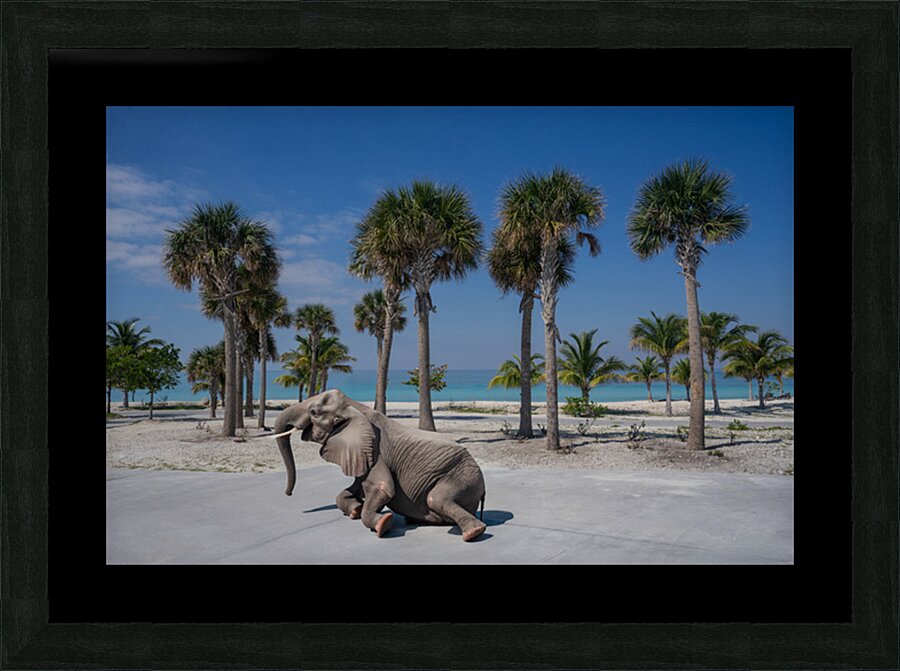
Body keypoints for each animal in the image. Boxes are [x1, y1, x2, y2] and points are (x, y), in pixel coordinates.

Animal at [272, 389, 487, 542]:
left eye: (313, 412)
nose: (288, 494)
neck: (354, 406)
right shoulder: (363, 452)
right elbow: (357, 486)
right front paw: (355, 510)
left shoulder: (376, 451)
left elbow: (383, 487)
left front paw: (383, 523)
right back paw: (415, 520)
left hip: (462, 476)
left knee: (436, 499)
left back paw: (474, 533)